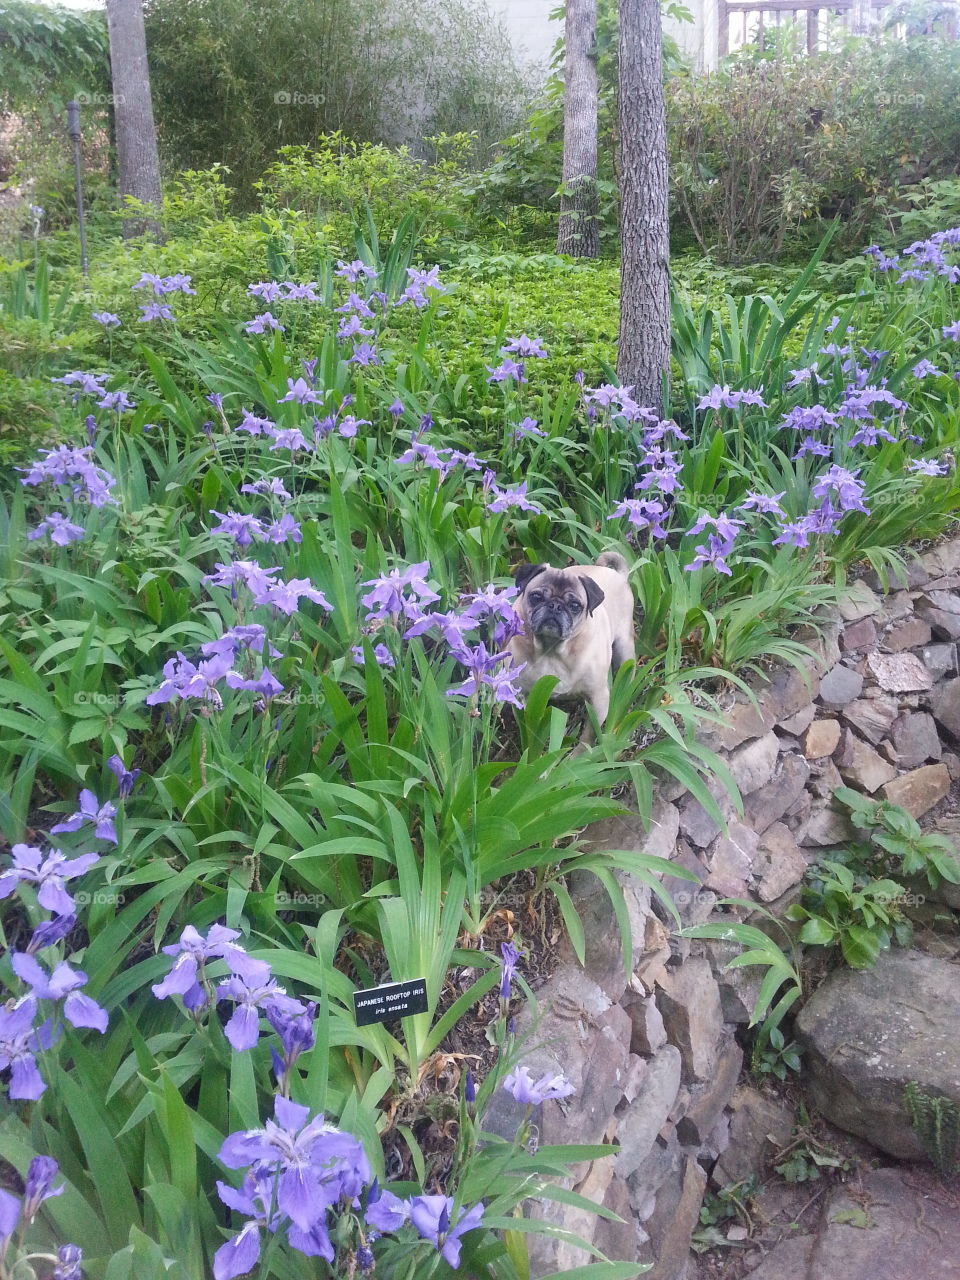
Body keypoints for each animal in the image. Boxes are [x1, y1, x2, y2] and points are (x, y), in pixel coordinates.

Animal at [512, 547, 640, 747]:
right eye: (536, 597)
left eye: (574, 605)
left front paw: (581, 754)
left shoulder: (599, 700)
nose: (555, 606)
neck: (552, 651)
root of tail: (618, 574)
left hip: (624, 646)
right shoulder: (523, 695)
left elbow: (588, 735)